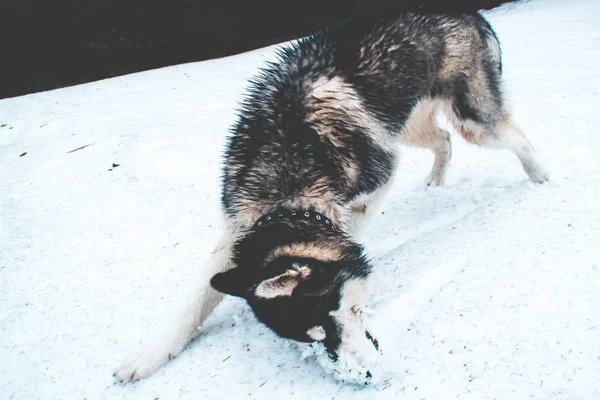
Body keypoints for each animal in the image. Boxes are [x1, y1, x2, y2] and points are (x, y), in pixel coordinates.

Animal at [113, 10, 548, 382]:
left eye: (340, 317)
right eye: (312, 339)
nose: (365, 375)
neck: (286, 183)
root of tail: (465, 12)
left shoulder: (377, 178)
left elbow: (353, 233)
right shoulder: (238, 229)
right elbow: (192, 303)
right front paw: (149, 355)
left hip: (469, 119)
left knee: (510, 135)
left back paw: (540, 176)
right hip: (405, 124)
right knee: (442, 139)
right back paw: (436, 181)